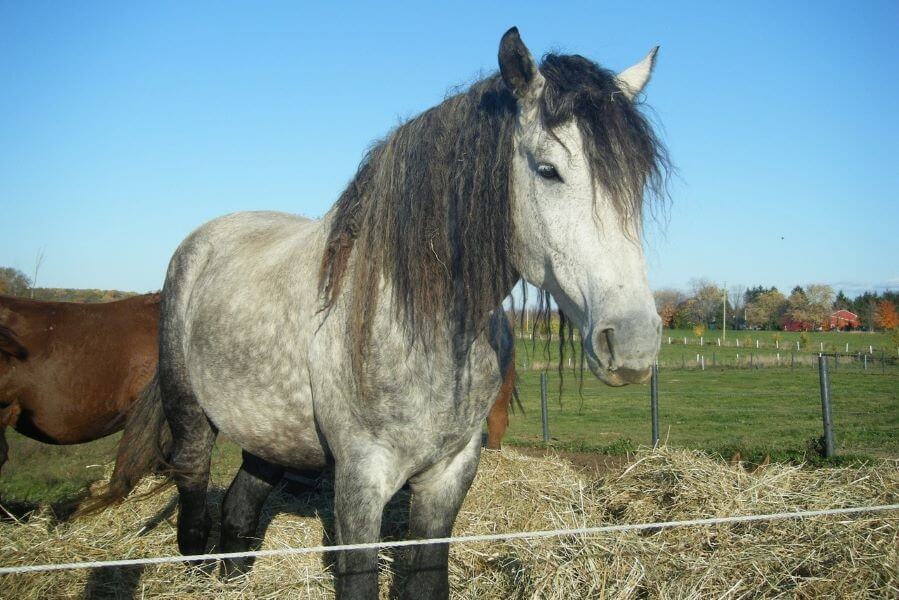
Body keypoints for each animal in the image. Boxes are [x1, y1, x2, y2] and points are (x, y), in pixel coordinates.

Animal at [141, 27, 664, 596]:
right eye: (549, 170)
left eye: (637, 180)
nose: (633, 341)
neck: (423, 325)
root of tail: (204, 239)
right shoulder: (360, 480)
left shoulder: (449, 474)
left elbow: (427, 576)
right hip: (190, 415)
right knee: (193, 505)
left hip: (270, 436)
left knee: (239, 511)